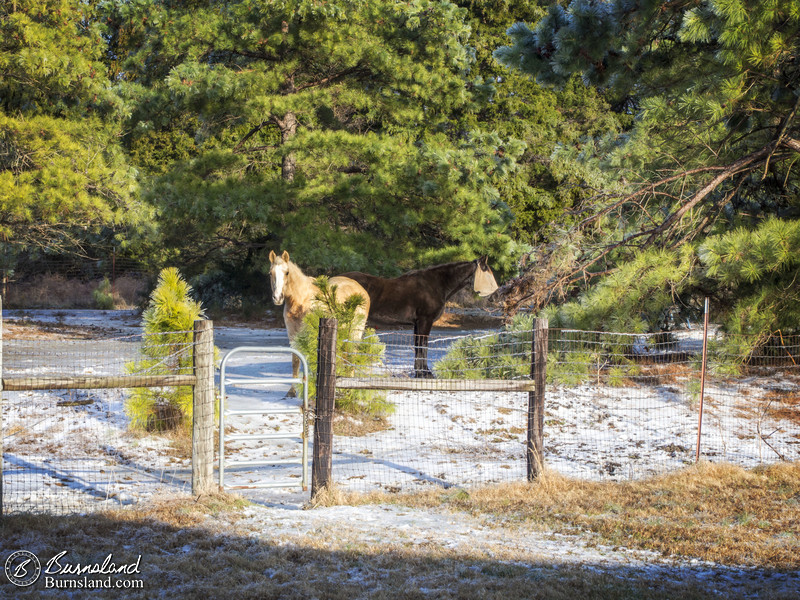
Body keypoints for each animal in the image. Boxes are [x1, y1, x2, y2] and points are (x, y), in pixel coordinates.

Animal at [268, 250, 368, 382]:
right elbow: (296, 361)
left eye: (287, 272)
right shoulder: (293, 335)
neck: (301, 300)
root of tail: (361, 290)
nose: (277, 298)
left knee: (351, 356)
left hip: (355, 332)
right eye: (270, 273)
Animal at [340, 255, 496, 378]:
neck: (436, 285)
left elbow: (417, 346)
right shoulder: (425, 321)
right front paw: (424, 373)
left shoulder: (417, 323)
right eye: (487, 271)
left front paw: (420, 372)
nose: (494, 296)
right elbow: (423, 346)